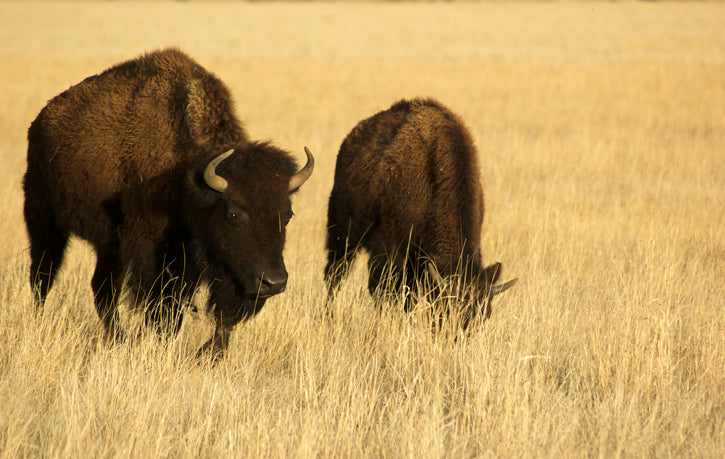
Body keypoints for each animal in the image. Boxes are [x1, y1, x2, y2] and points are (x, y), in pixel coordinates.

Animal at [24, 49, 314, 360]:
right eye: (234, 214)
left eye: (288, 214)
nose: (274, 282)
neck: (187, 173)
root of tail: (40, 121)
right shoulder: (152, 252)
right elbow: (163, 307)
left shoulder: (204, 261)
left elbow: (220, 316)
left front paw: (209, 354)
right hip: (44, 219)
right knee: (43, 275)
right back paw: (41, 322)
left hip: (109, 244)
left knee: (102, 288)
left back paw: (116, 338)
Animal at [326, 96, 516, 328]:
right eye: (447, 309)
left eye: (483, 315)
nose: (454, 336)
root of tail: (349, 141)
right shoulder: (390, 250)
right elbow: (385, 292)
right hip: (342, 233)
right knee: (335, 274)